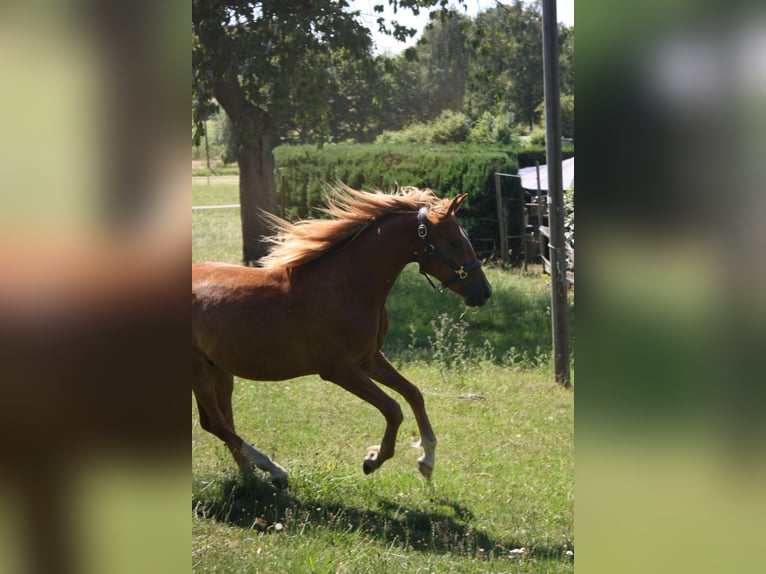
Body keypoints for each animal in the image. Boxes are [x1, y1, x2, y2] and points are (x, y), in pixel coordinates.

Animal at [192, 185, 492, 487]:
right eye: (455, 242)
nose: (484, 292)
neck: (348, 285)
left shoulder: (369, 359)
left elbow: (413, 393)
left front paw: (427, 459)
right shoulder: (339, 369)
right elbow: (393, 408)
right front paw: (374, 459)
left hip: (220, 370)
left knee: (220, 422)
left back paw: (251, 476)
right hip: (200, 374)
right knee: (215, 423)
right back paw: (273, 469)